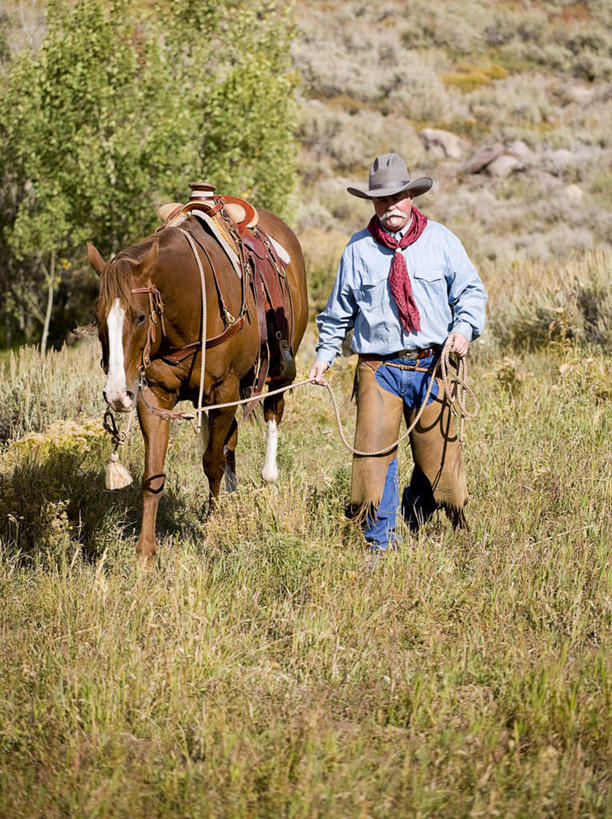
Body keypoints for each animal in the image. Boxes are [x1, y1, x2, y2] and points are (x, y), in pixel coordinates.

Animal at [88, 210, 308, 564]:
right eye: (98, 319)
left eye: (139, 317)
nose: (118, 394)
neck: (190, 310)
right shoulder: (155, 396)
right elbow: (153, 475)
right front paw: (145, 554)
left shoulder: (223, 391)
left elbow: (211, 463)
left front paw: (211, 529)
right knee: (230, 439)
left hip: (279, 376)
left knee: (272, 417)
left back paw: (270, 484)